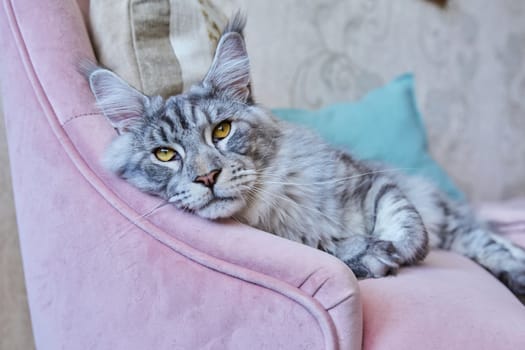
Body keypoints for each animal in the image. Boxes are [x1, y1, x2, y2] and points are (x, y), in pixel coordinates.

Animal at [83, 13, 524, 300]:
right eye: (164, 154)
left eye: (222, 130)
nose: (207, 177)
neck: (273, 210)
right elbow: (336, 251)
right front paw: (371, 255)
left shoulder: (369, 180)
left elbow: (408, 225)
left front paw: (397, 247)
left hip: (448, 217)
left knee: (489, 241)